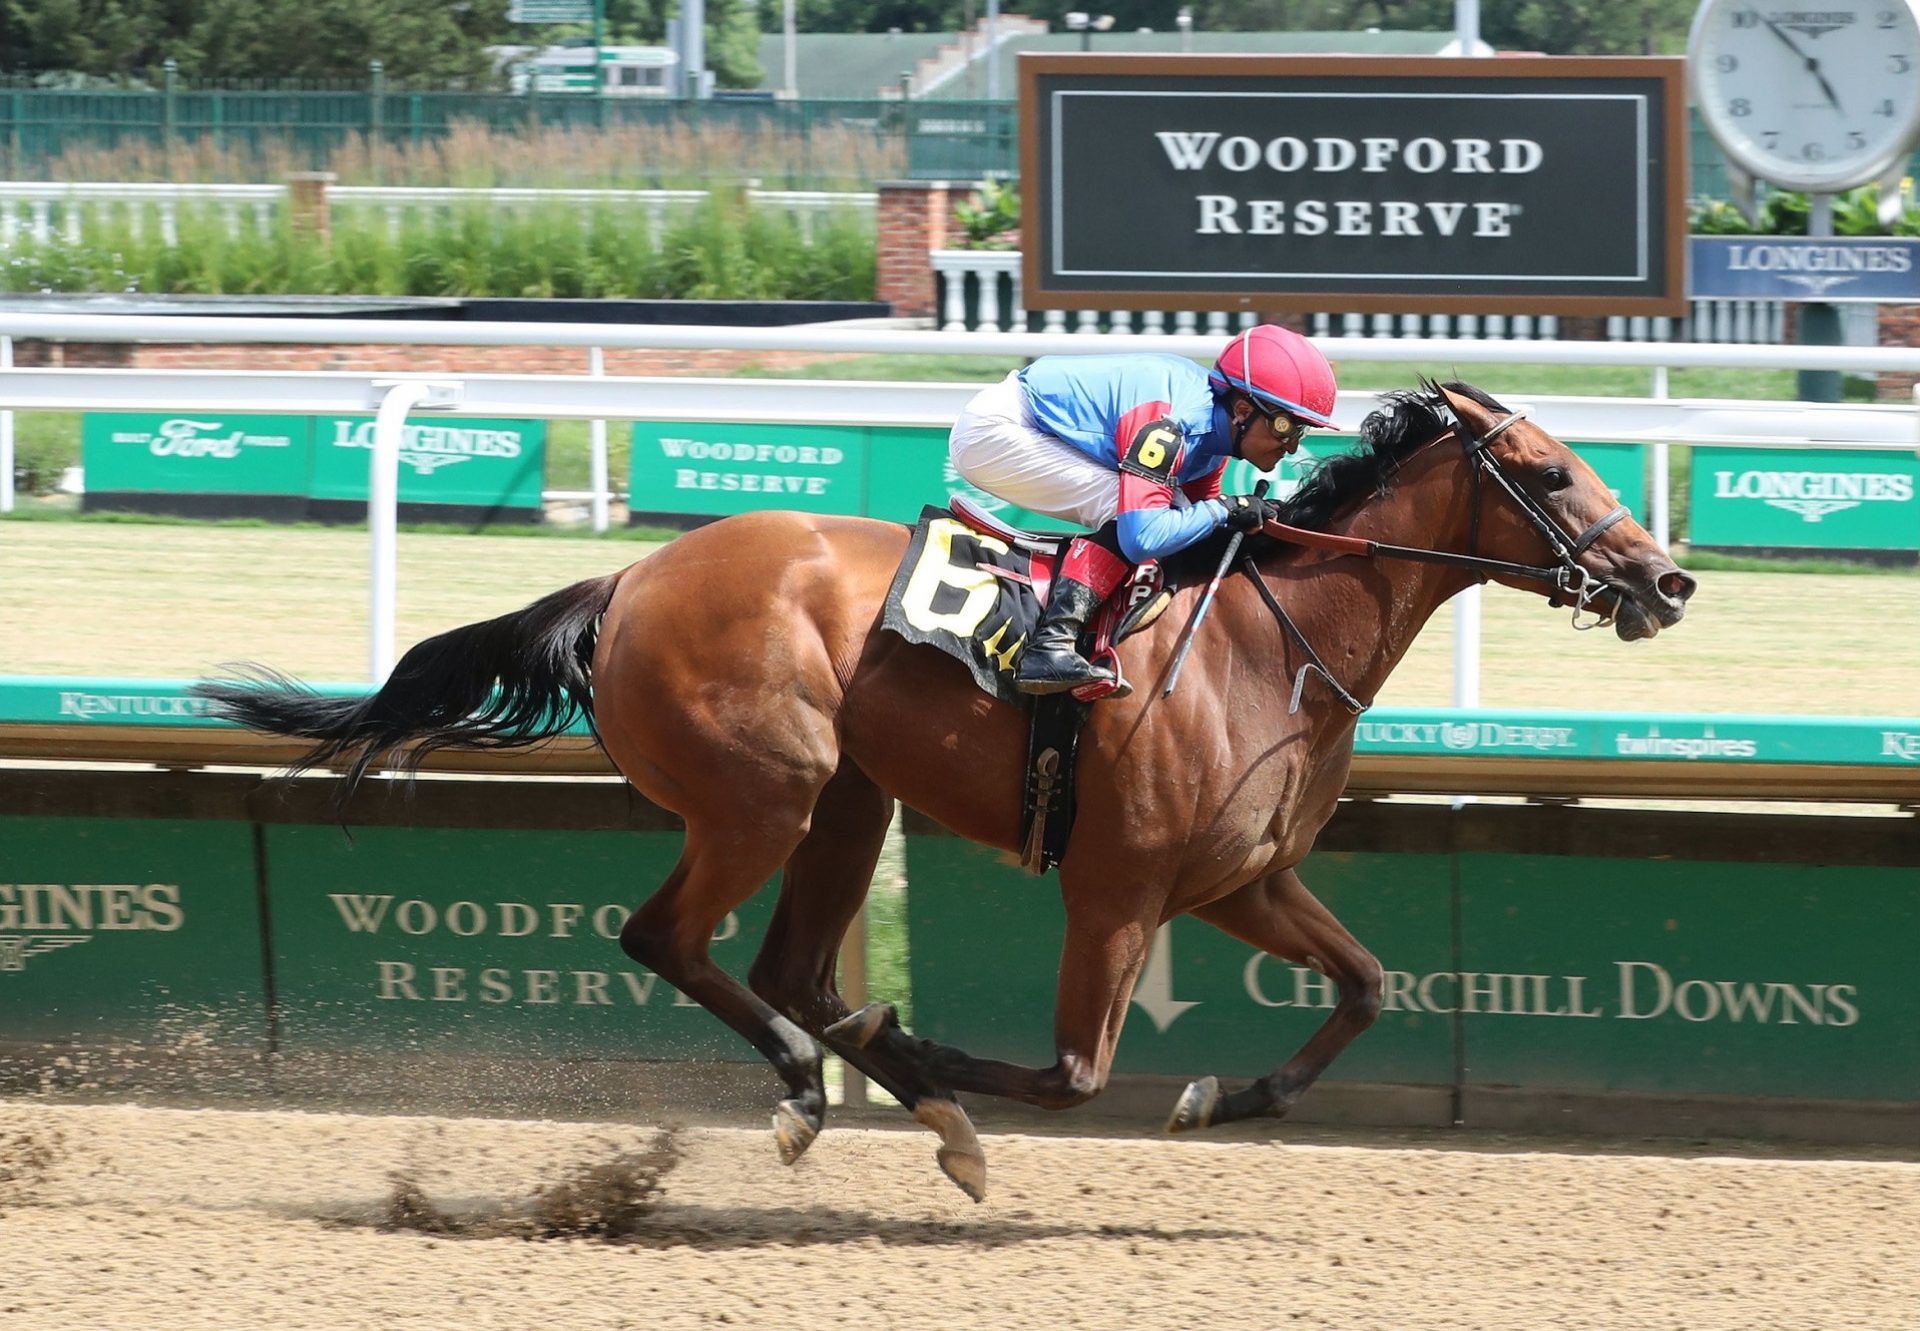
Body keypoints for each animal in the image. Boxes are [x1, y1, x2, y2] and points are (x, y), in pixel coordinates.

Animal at [194, 378, 1697, 1198]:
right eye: (1553, 470)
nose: (1668, 577)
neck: (1268, 641)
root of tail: (627, 575)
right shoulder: (1117, 887)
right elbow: (1073, 1072)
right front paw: (929, 1059)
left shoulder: (1242, 879)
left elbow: (1370, 984)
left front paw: (1227, 1096)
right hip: (769, 788)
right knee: (670, 938)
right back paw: (824, 1090)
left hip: (850, 799)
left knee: (787, 965)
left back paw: (863, 1088)